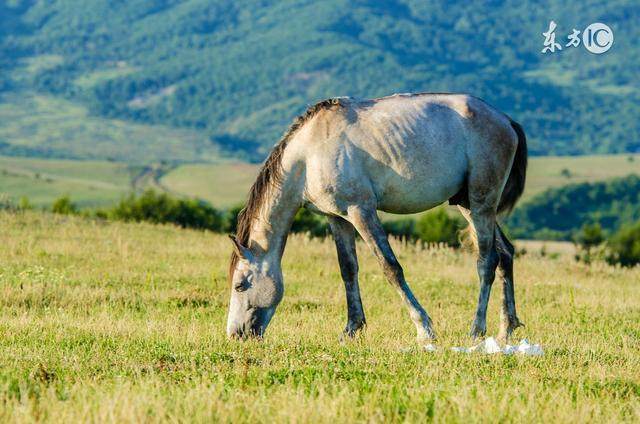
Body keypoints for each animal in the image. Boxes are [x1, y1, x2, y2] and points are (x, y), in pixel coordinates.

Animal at [228, 93, 528, 344]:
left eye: (240, 285)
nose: (235, 334)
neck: (309, 155)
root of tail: (506, 120)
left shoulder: (361, 211)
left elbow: (390, 267)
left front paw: (424, 329)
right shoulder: (338, 219)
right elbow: (348, 270)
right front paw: (351, 329)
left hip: (481, 203)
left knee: (487, 261)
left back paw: (477, 330)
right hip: (468, 204)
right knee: (506, 253)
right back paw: (506, 328)